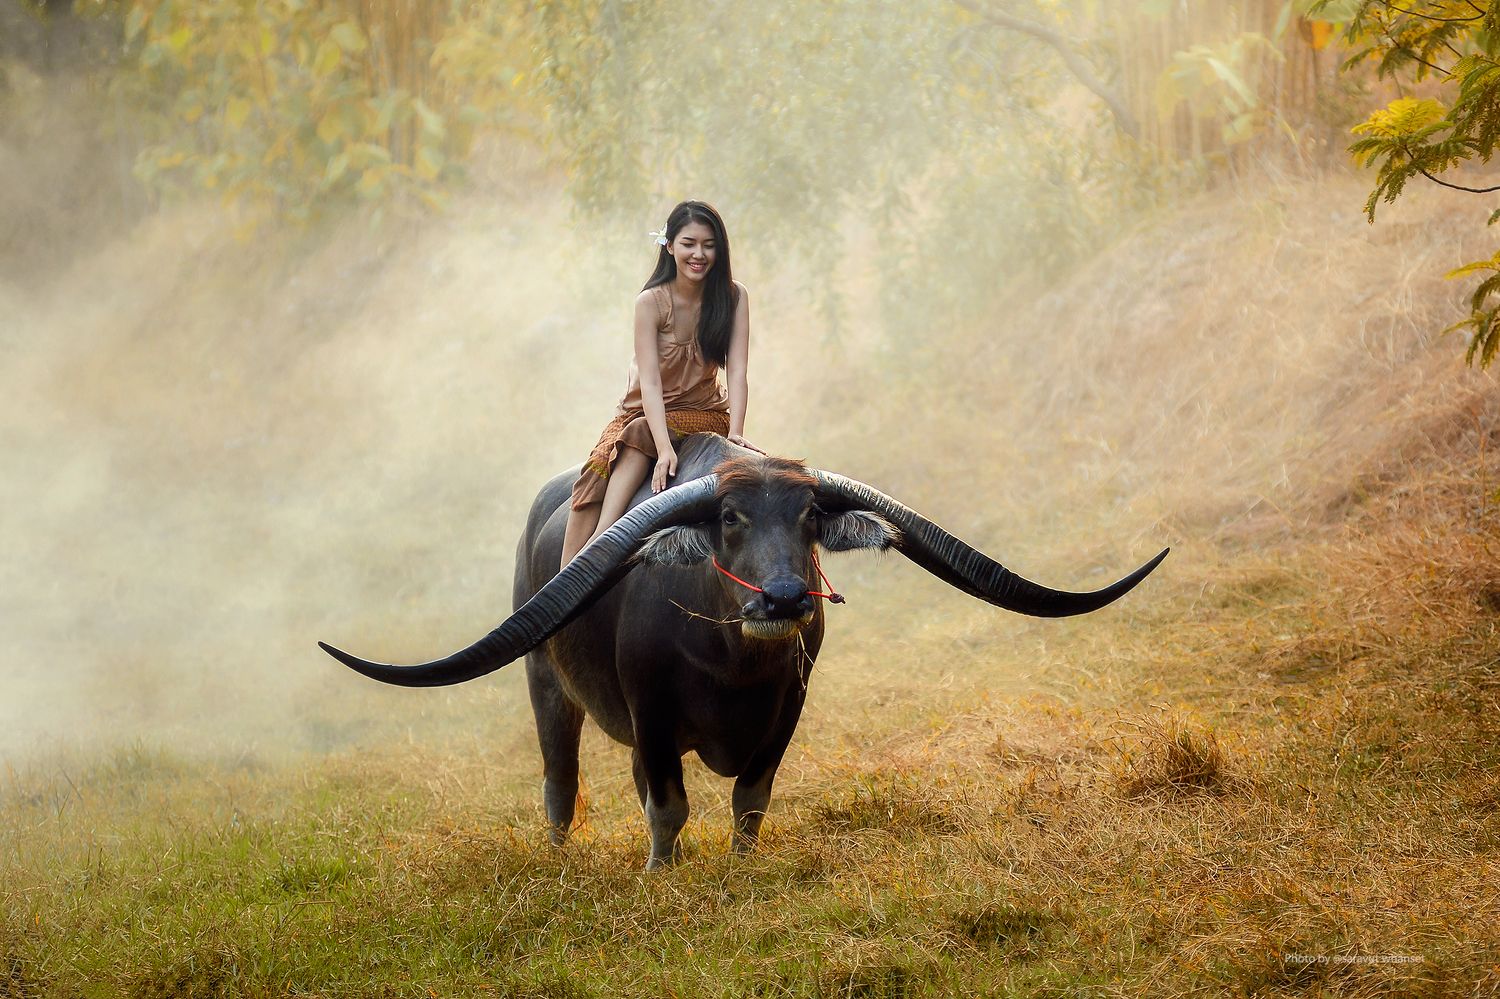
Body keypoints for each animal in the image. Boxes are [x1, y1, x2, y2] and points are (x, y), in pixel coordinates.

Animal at [320, 434, 1167, 869]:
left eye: (809, 515)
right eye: (729, 517)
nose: (786, 598)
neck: (728, 661)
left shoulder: (787, 708)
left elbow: (750, 798)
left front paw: (740, 864)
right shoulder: (652, 715)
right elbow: (668, 804)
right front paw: (663, 873)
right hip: (545, 682)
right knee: (561, 782)